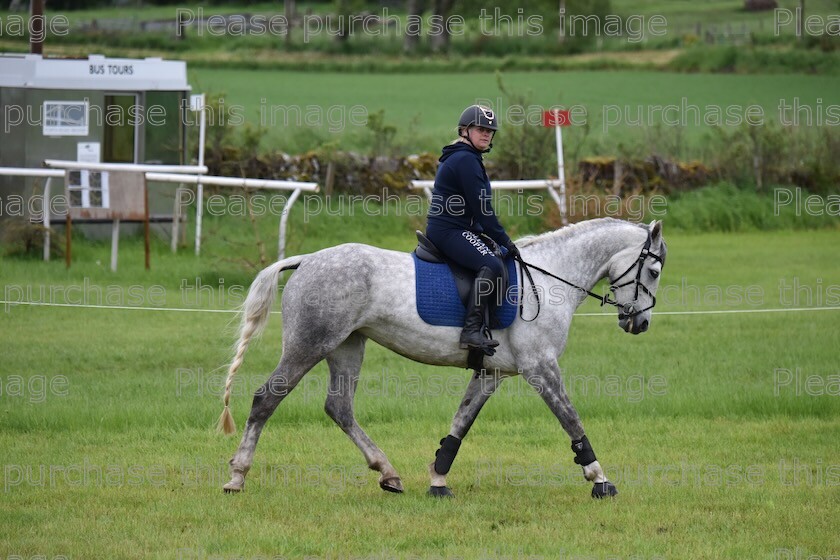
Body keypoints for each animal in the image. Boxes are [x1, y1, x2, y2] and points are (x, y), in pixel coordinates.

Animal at [220, 218, 668, 498]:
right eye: (654, 271)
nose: (640, 323)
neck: (548, 279)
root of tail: (306, 260)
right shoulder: (540, 367)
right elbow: (571, 419)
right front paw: (599, 479)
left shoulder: (491, 373)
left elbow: (460, 424)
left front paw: (437, 479)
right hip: (310, 344)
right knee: (266, 399)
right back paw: (237, 476)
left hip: (347, 346)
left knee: (339, 408)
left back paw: (388, 472)